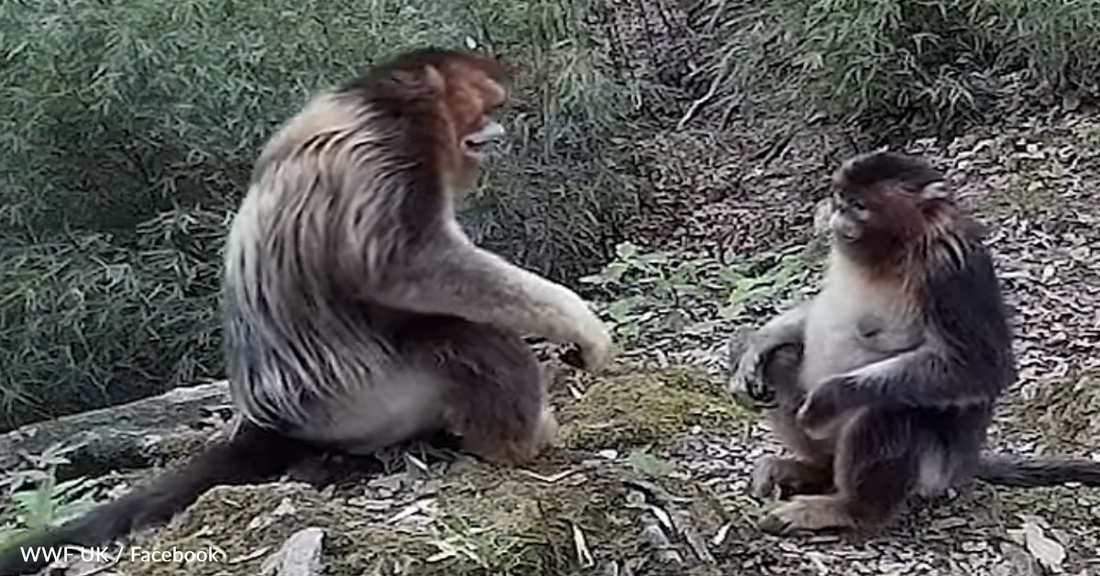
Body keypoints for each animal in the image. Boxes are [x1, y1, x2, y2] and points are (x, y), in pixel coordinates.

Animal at [730, 149, 1100, 536]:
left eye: (858, 206)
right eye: (841, 201)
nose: (837, 217)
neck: (897, 251)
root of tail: (964, 466)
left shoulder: (948, 269)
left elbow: (979, 369)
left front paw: (827, 397)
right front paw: (758, 344)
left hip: (934, 472)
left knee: (893, 405)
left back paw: (851, 509)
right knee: (783, 361)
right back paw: (815, 469)